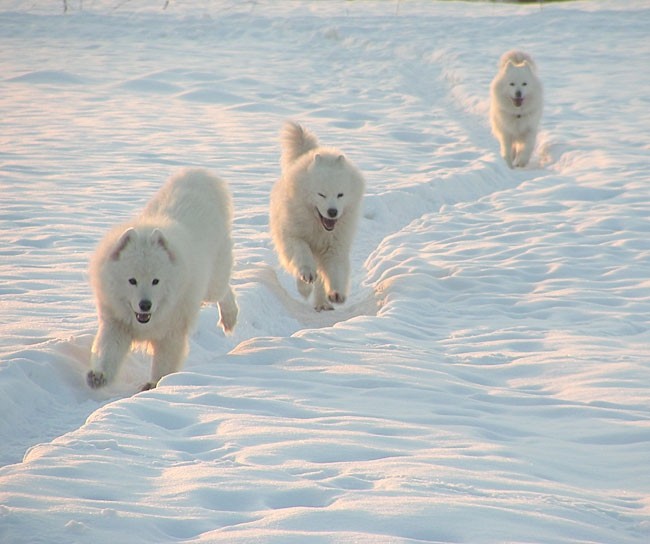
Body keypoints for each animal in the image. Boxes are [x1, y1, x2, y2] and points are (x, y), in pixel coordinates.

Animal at [87, 168, 237, 388]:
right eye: (132, 280)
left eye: (155, 281)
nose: (145, 305)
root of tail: (198, 175)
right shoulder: (116, 322)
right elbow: (107, 350)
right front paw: (98, 375)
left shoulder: (172, 332)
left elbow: (164, 363)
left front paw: (156, 385)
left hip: (213, 282)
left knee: (224, 289)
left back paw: (229, 317)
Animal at [268, 121, 362, 312]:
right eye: (321, 194)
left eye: (340, 194)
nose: (332, 212)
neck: (318, 227)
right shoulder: (293, 235)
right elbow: (302, 253)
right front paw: (307, 274)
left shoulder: (335, 245)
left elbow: (336, 270)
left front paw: (336, 293)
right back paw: (305, 287)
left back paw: (322, 303)